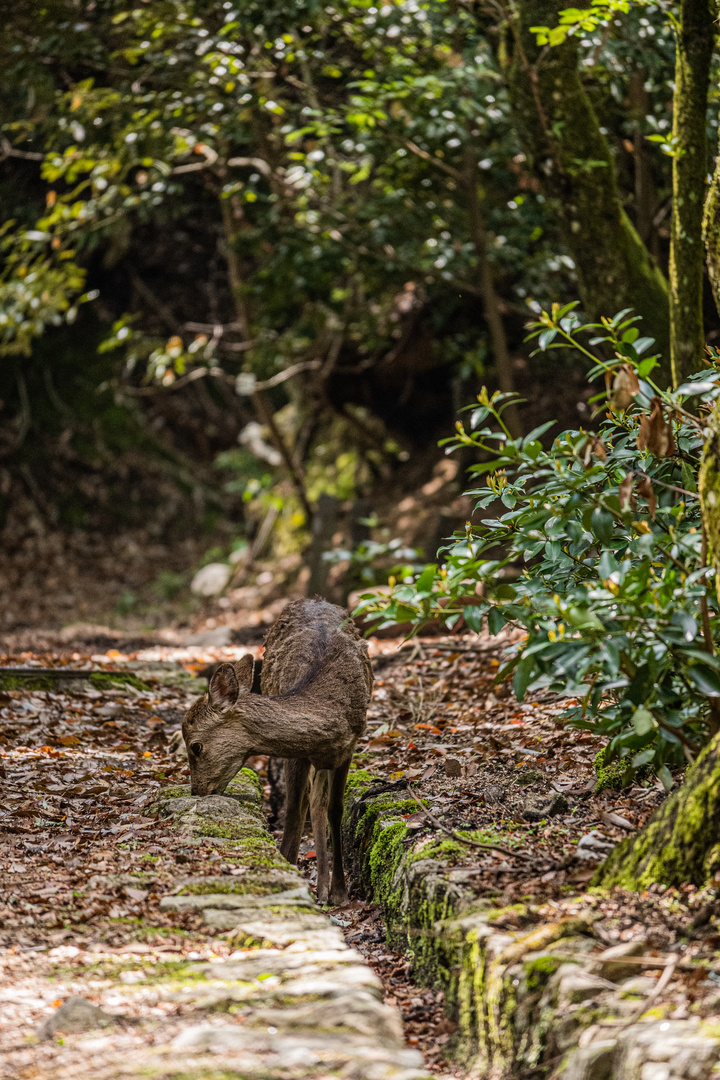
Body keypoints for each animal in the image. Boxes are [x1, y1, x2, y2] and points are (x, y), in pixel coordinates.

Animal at [181, 596, 371, 907]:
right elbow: (295, 810)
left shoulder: (349, 747)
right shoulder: (298, 754)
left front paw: (339, 892)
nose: (197, 790)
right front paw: (288, 866)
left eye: (195, 746)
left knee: (317, 802)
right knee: (308, 802)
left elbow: (335, 810)